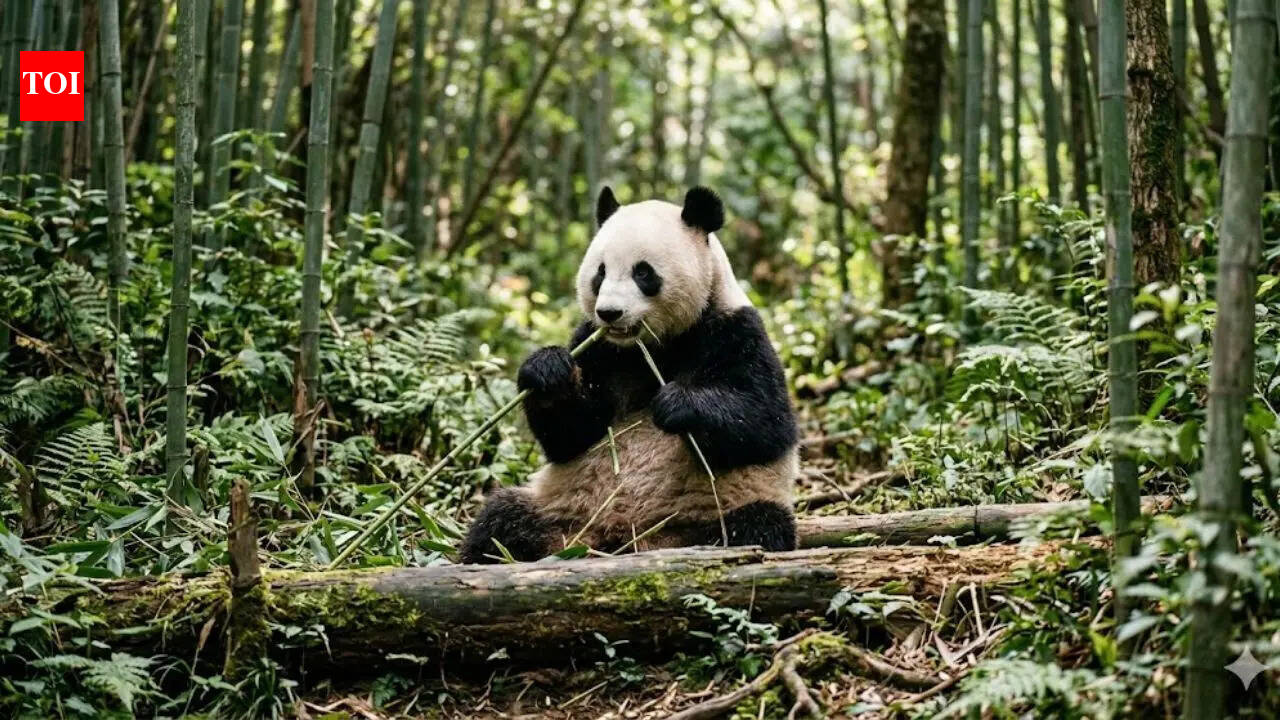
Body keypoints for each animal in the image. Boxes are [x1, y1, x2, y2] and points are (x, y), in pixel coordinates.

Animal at [458, 186, 799, 563]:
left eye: (643, 273)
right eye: (600, 273)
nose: (609, 313)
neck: (654, 345)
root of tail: (620, 539)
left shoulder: (735, 330)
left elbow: (765, 423)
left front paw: (677, 404)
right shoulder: (599, 347)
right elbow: (571, 435)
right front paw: (547, 370)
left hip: (720, 507)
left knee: (755, 526)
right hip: (558, 507)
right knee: (500, 519)